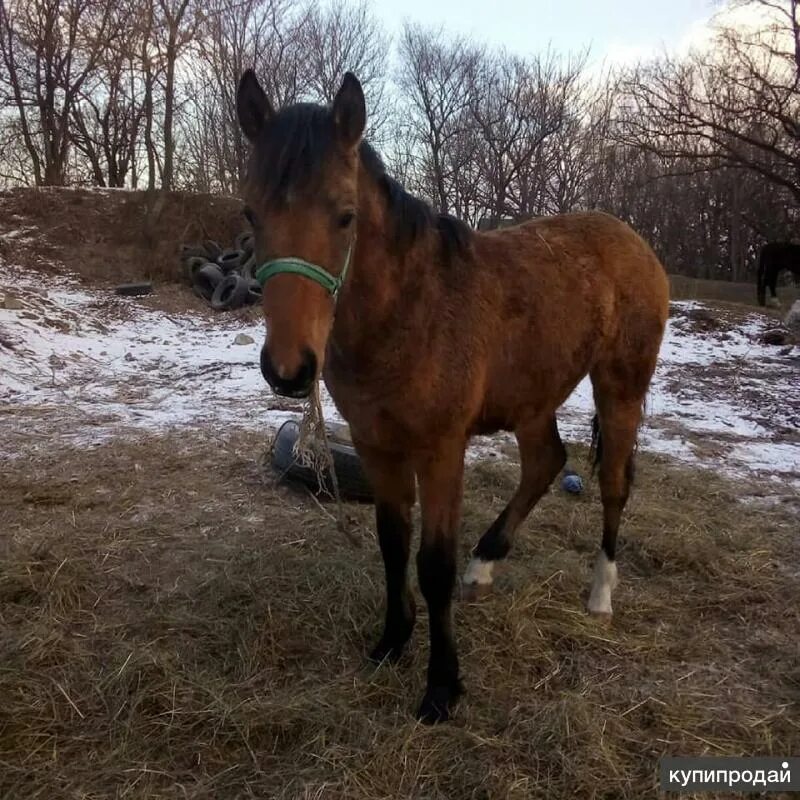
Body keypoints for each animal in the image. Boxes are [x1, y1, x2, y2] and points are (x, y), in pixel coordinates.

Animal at [236, 70, 668, 724]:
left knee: (614, 485)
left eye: (345, 216)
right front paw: (391, 642)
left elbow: (432, 563)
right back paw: (484, 567)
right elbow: (392, 545)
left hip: (619, 388)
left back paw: (599, 594)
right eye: (251, 213)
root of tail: (634, 240)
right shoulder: (377, 446)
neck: (410, 311)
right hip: (533, 395)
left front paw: (442, 686)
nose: (290, 369)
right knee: (546, 463)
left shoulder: (440, 451)